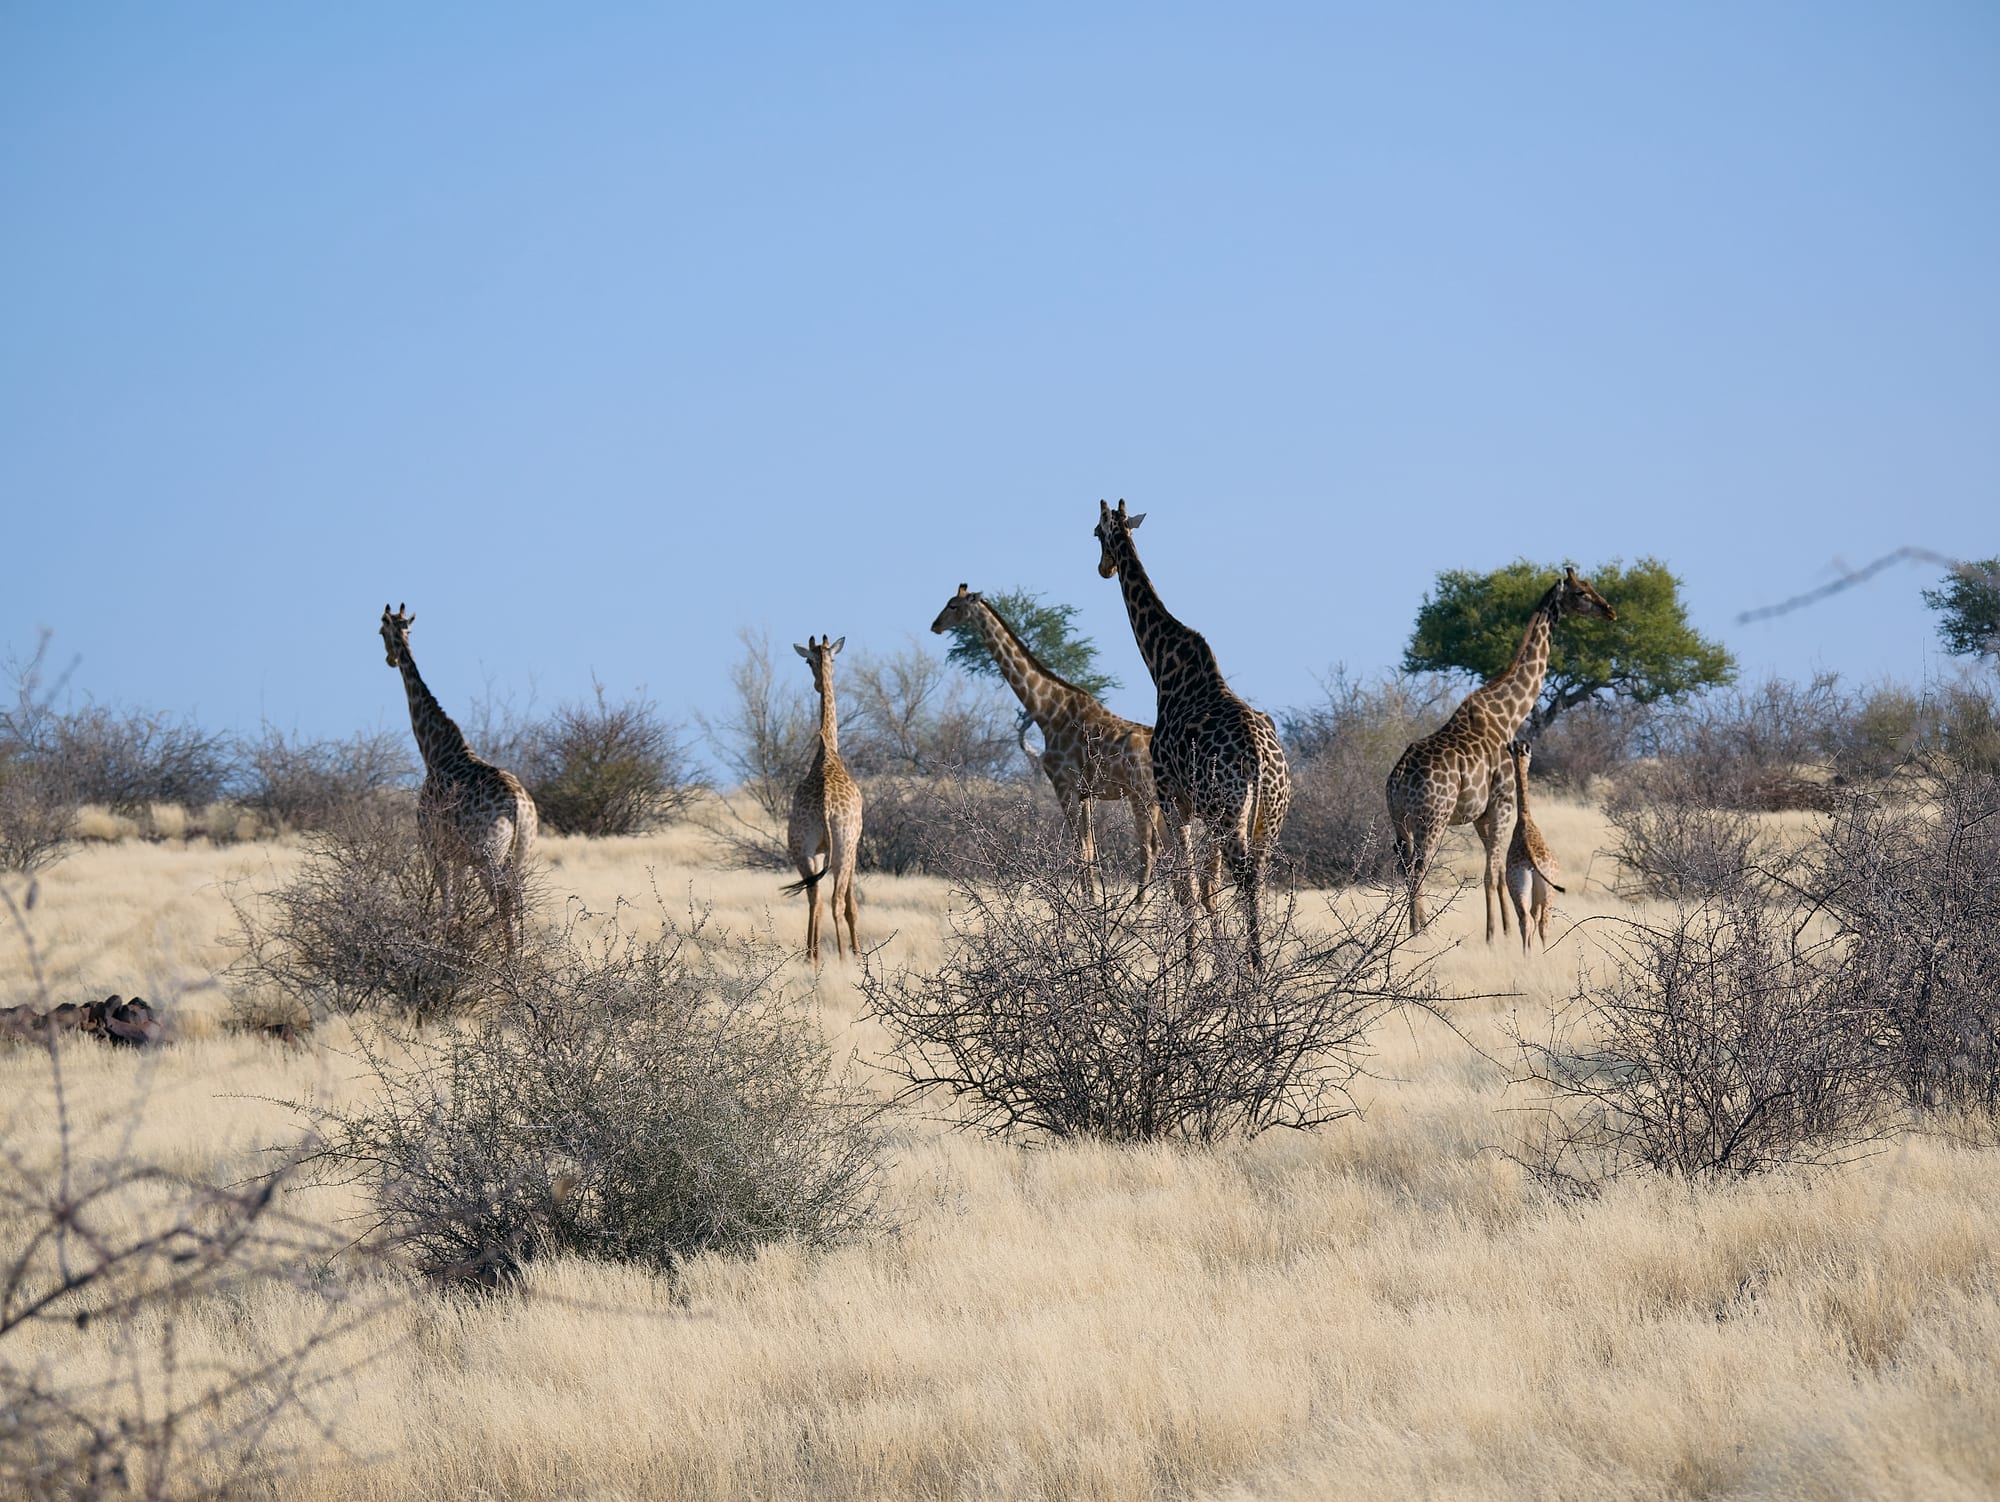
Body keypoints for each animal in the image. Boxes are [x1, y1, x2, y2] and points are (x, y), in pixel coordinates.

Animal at [378, 605, 539, 952]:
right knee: (517, 901)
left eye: (379, 631)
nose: (390, 659)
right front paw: (458, 941)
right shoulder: (459, 856)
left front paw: (440, 943)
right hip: (520, 854)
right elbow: (459, 903)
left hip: (487, 856)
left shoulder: (434, 845)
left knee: (503, 900)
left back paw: (510, 962)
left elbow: (445, 901)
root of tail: (518, 807)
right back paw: (520, 957)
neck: (434, 750)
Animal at [930, 584, 1159, 896]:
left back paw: (1140, 904)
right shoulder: (1084, 792)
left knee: (1150, 848)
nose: (935, 625)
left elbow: (1078, 849)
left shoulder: (1063, 783)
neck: (1047, 711)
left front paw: (1088, 903)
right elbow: (1089, 849)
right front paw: (1093, 900)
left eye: (953, 605)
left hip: (1144, 795)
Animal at [1092, 500, 1291, 969]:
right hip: (1266, 818)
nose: (1104, 568)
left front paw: (1189, 968)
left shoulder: (1172, 798)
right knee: (1257, 876)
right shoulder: (1199, 809)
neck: (1163, 664)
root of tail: (1261, 761)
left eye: (1094, 532)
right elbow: (1207, 890)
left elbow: (1186, 887)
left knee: (1246, 877)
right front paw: (1215, 966)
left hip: (1229, 814)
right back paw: (1258, 965)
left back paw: (1256, 968)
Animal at [1505, 740, 1566, 953]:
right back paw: (1537, 955)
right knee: (1537, 922)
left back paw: (1531, 955)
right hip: (1541, 889)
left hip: (1524, 887)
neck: (1525, 819)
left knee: (1530, 920)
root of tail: (1531, 859)